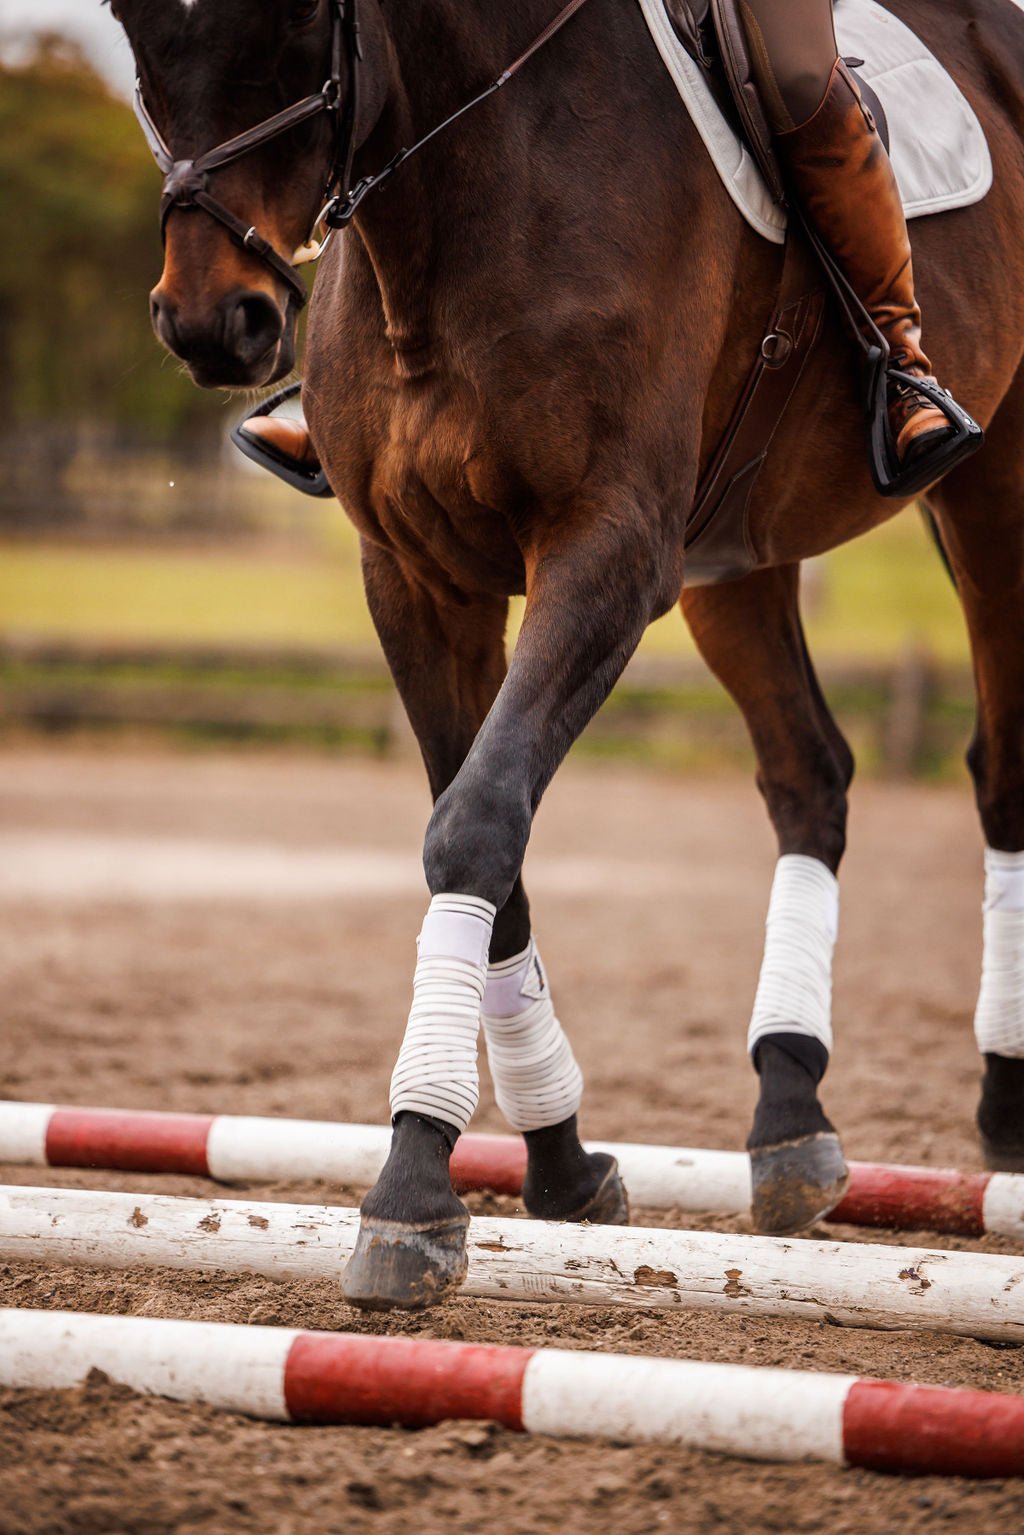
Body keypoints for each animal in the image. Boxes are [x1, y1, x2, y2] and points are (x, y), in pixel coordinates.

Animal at [112, 0, 1024, 1310]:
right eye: (133, 35)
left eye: (289, 28)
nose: (210, 322)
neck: (469, 180)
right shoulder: (414, 573)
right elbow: (479, 837)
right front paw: (556, 1161)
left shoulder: (605, 552)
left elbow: (479, 821)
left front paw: (412, 1188)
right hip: (737, 549)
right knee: (809, 772)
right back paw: (788, 1115)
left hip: (993, 489)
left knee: (1000, 771)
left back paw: (1002, 1107)